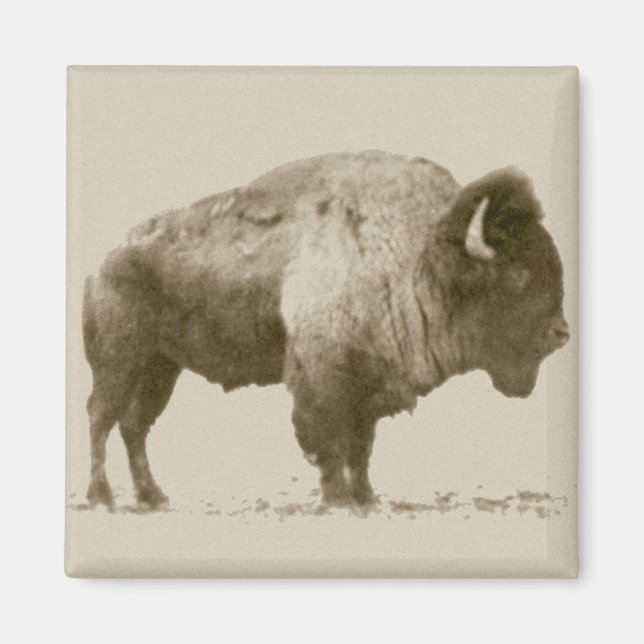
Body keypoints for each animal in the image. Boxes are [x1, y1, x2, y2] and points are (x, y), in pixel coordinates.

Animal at [82, 150, 569, 510]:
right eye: (518, 275)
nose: (562, 333)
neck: (419, 259)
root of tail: (104, 262)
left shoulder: (369, 387)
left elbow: (361, 447)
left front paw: (367, 498)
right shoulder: (323, 379)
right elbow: (329, 441)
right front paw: (338, 500)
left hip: (160, 367)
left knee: (134, 426)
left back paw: (153, 496)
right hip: (119, 362)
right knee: (101, 417)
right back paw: (102, 497)